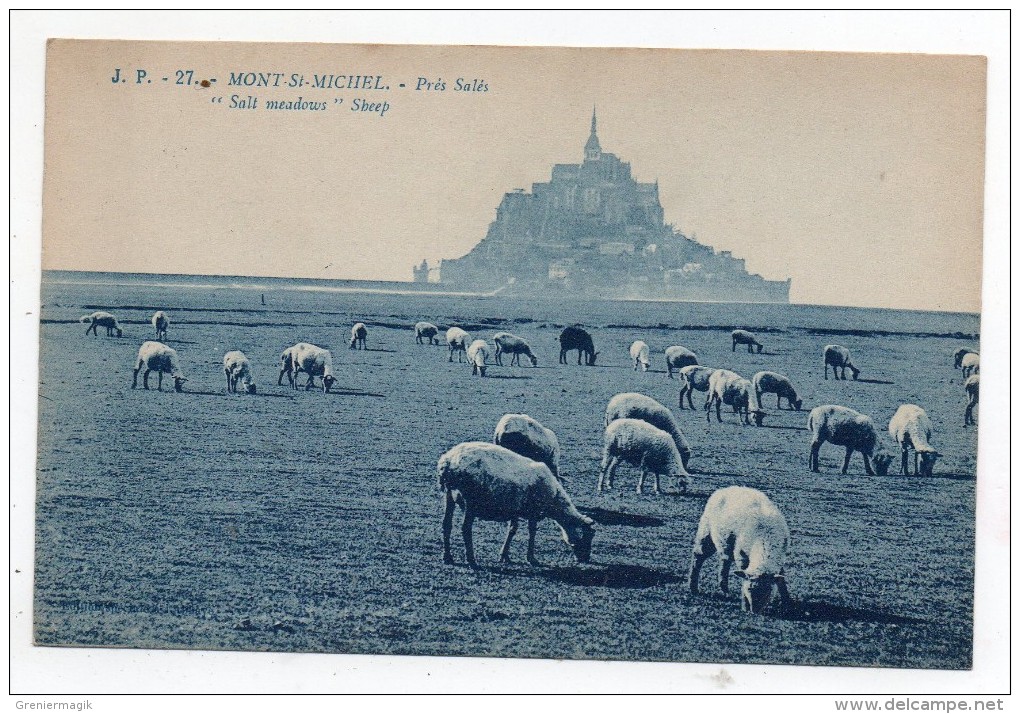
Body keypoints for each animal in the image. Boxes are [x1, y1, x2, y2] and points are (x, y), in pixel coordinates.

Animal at [434, 440, 595, 567]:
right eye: (588, 537)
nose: (585, 559)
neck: (555, 502)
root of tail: (449, 461)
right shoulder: (533, 511)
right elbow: (532, 532)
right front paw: (531, 558)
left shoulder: (514, 509)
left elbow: (512, 530)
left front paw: (504, 556)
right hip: (471, 501)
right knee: (466, 528)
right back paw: (471, 559)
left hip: (448, 494)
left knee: (446, 524)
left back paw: (447, 557)